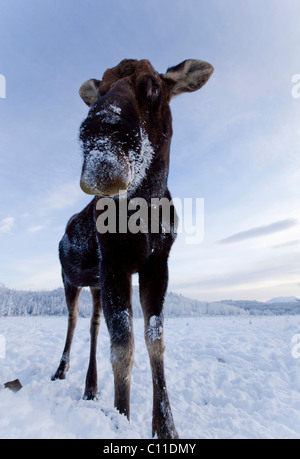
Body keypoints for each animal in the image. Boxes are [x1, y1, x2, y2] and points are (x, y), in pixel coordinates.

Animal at [53, 59, 213, 440]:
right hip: (70, 279)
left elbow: (155, 339)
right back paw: (61, 371)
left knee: (94, 325)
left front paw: (165, 426)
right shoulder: (115, 263)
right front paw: (121, 420)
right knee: (72, 322)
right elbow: (123, 346)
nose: (102, 131)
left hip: (95, 285)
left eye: (153, 86)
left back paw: (91, 387)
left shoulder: (157, 264)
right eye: (101, 88)